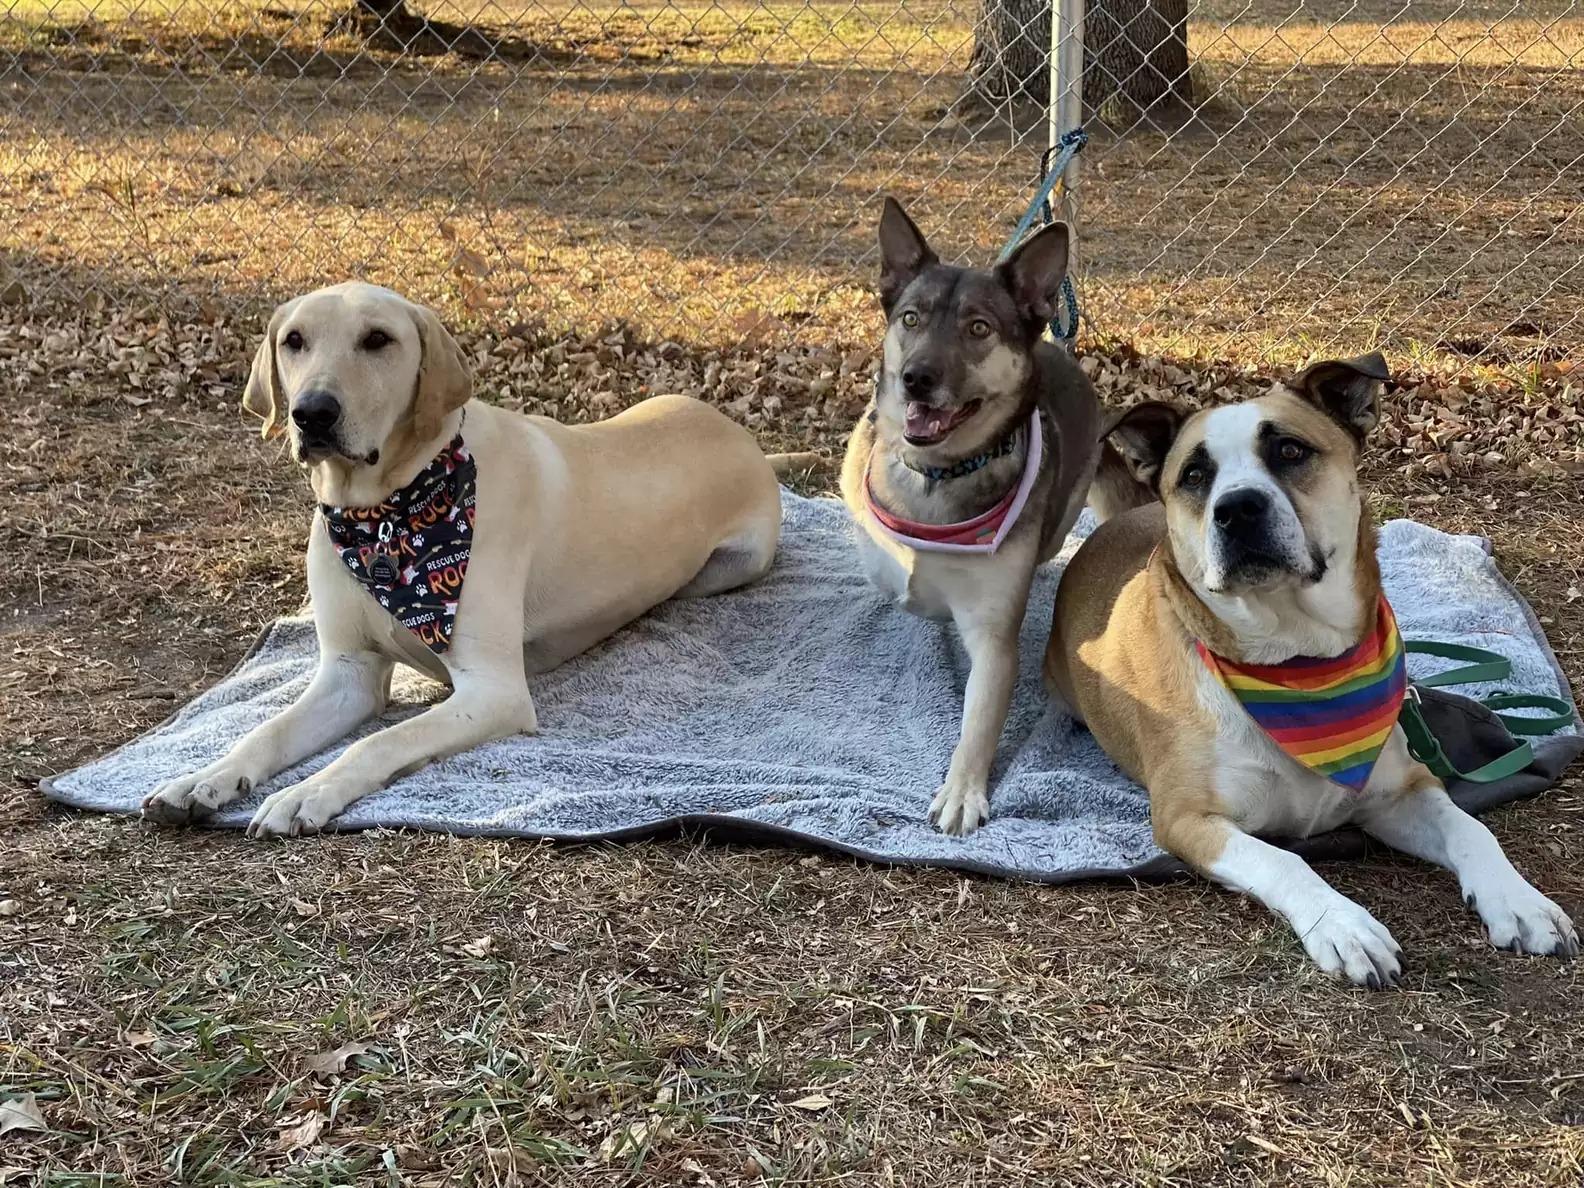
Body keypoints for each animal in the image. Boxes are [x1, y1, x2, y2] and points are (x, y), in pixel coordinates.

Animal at [145, 281, 776, 836]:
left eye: (378, 339)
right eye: (294, 340)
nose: (311, 413)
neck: (385, 515)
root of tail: (739, 431)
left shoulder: (494, 692)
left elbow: (380, 740)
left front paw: (308, 792)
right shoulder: (348, 674)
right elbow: (264, 732)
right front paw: (204, 779)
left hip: (733, 564)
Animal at [842, 198, 1102, 836]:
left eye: (979, 328)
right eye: (911, 319)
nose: (916, 378)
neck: (938, 474)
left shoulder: (992, 635)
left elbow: (978, 720)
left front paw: (962, 789)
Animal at [1045, 353, 1577, 988]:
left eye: (1290, 450)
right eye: (1195, 475)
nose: (1237, 508)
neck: (1297, 662)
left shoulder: (1400, 792)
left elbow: (1471, 828)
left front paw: (1518, 900)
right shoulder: (1189, 819)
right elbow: (1285, 859)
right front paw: (1344, 925)